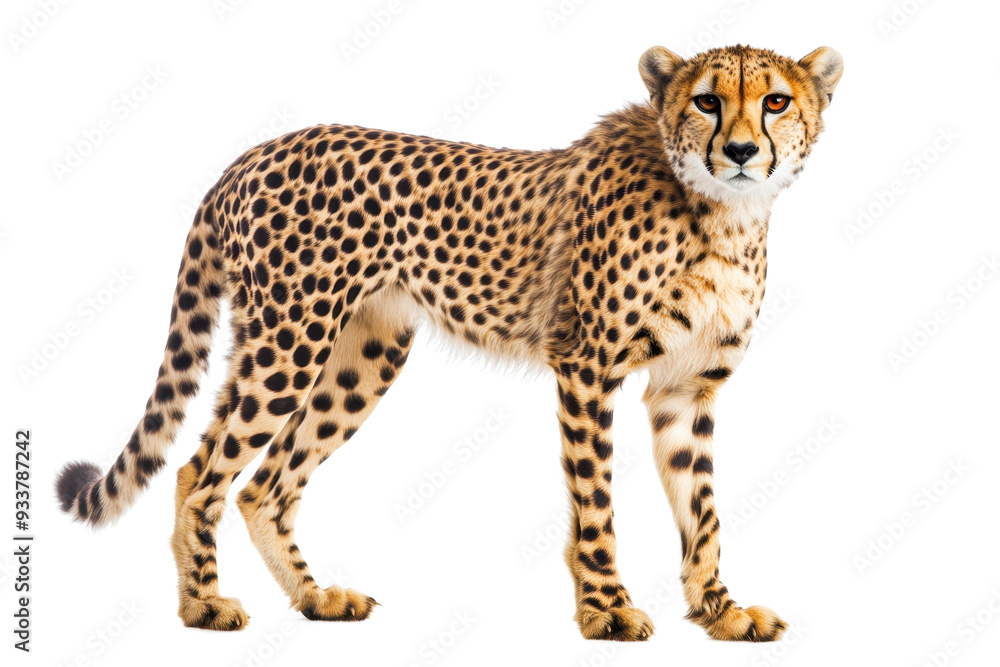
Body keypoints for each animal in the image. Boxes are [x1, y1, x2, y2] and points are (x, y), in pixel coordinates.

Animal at [56, 44, 843, 642]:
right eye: (707, 101)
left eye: (776, 102)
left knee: (265, 485)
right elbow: (596, 502)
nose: (740, 151)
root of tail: (255, 152)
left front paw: (721, 612)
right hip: (289, 343)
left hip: (361, 358)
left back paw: (315, 598)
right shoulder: (586, 367)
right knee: (200, 470)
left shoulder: (686, 388)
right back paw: (201, 605)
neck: (724, 213)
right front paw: (607, 611)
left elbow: (702, 509)